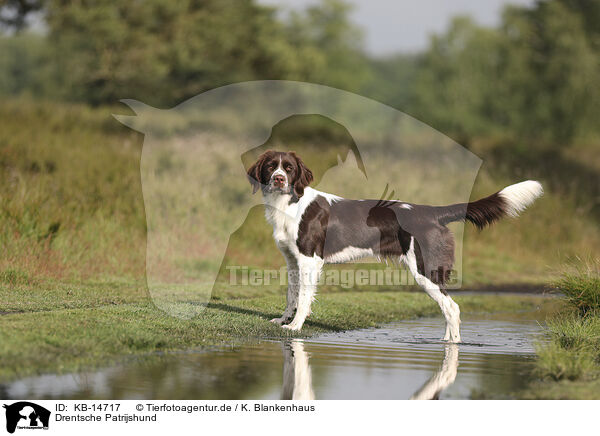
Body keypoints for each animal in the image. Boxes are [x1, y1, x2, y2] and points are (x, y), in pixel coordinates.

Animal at [247, 152, 544, 342]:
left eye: (289, 169)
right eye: (271, 166)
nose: (278, 179)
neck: (290, 204)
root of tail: (432, 212)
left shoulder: (310, 260)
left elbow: (304, 298)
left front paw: (295, 327)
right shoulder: (292, 260)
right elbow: (291, 294)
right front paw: (283, 321)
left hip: (426, 270)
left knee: (452, 308)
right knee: (448, 309)